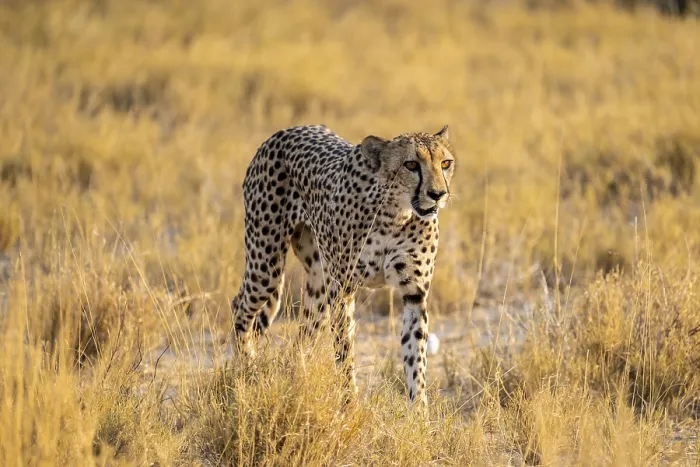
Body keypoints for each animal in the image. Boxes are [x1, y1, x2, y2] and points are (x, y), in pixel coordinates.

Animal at [230, 124, 456, 408]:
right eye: (411, 164)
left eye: (445, 163)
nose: (438, 194)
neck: (396, 213)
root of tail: (288, 130)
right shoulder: (342, 289)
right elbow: (344, 350)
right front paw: (349, 403)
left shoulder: (414, 293)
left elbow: (415, 357)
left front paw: (419, 412)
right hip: (266, 266)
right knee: (240, 306)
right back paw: (246, 370)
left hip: (317, 285)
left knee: (303, 333)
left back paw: (296, 378)